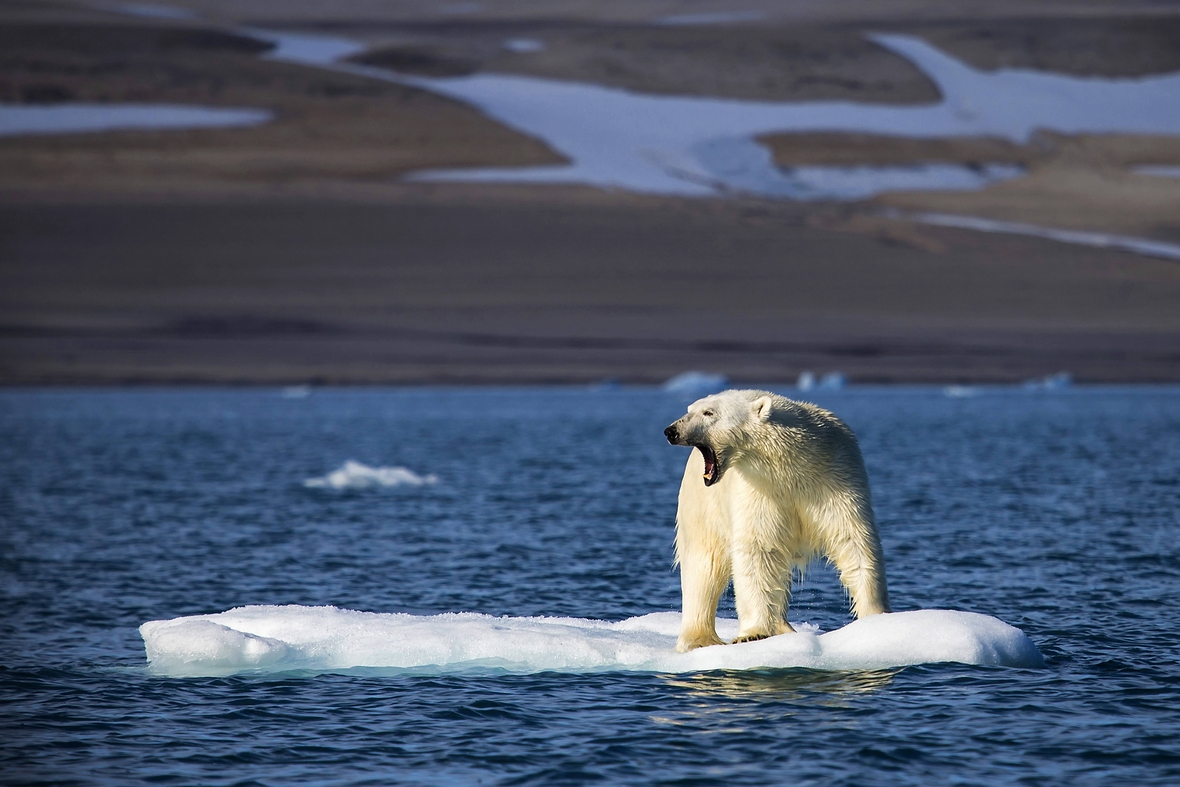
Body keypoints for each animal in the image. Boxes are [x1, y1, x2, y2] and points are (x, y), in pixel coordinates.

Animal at [665, 387, 887, 651]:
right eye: (690, 409)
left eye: (709, 412)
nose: (671, 431)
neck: (790, 467)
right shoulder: (757, 491)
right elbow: (758, 551)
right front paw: (752, 634)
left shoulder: (837, 476)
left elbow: (852, 539)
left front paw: (874, 617)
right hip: (702, 505)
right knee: (703, 564)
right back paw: (700, 639)